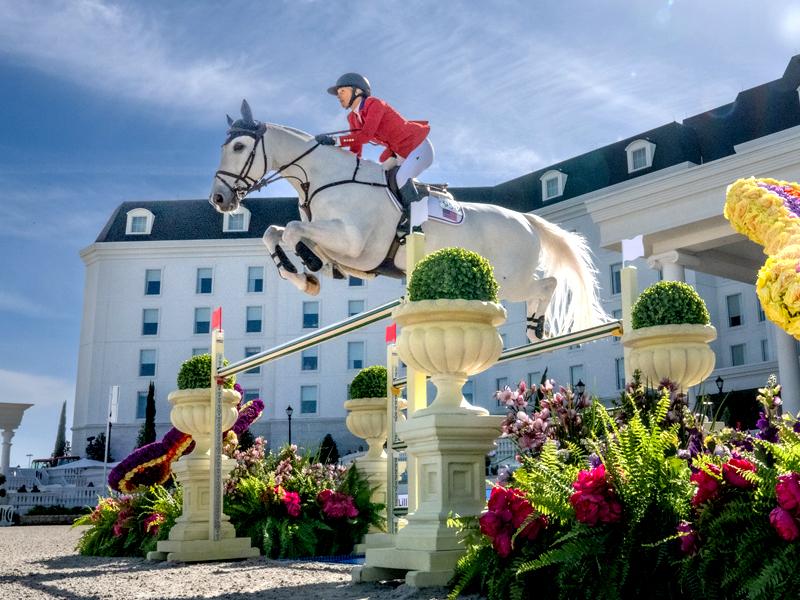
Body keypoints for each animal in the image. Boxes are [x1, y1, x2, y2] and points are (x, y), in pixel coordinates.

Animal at [210, 100, 608, 341]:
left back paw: (535, 328)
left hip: (510, 279)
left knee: (548, 283)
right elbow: (272, 233)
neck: (322, 177)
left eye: (240, 147)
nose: (219, 199)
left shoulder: (353, 243)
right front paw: (301, 275)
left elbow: (292, 231)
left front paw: (308, 265)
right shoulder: (340, 246)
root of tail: (527, 220)